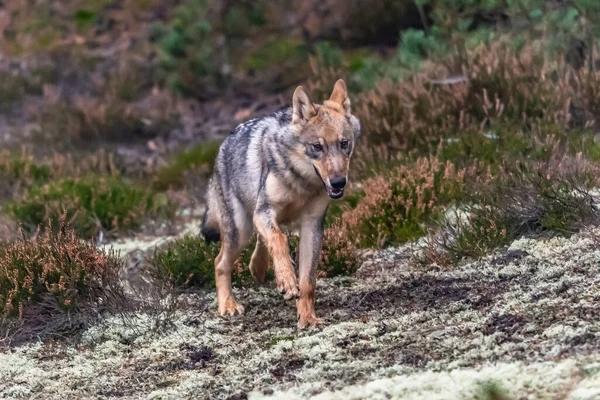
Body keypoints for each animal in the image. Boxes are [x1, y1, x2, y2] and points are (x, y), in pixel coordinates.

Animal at [202, 79, 360, 328]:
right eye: (317, 147)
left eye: (344, 143)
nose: (338, 182)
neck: (302, 182)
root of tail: (222, 147)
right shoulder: (265, 211)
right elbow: (279, 240)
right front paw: (286, 280)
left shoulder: (312, 225)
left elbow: (308, 282)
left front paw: (307, 317)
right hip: (241, 231)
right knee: (220, 262)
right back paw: (228, 306)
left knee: (259, 243)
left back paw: (257, 268)